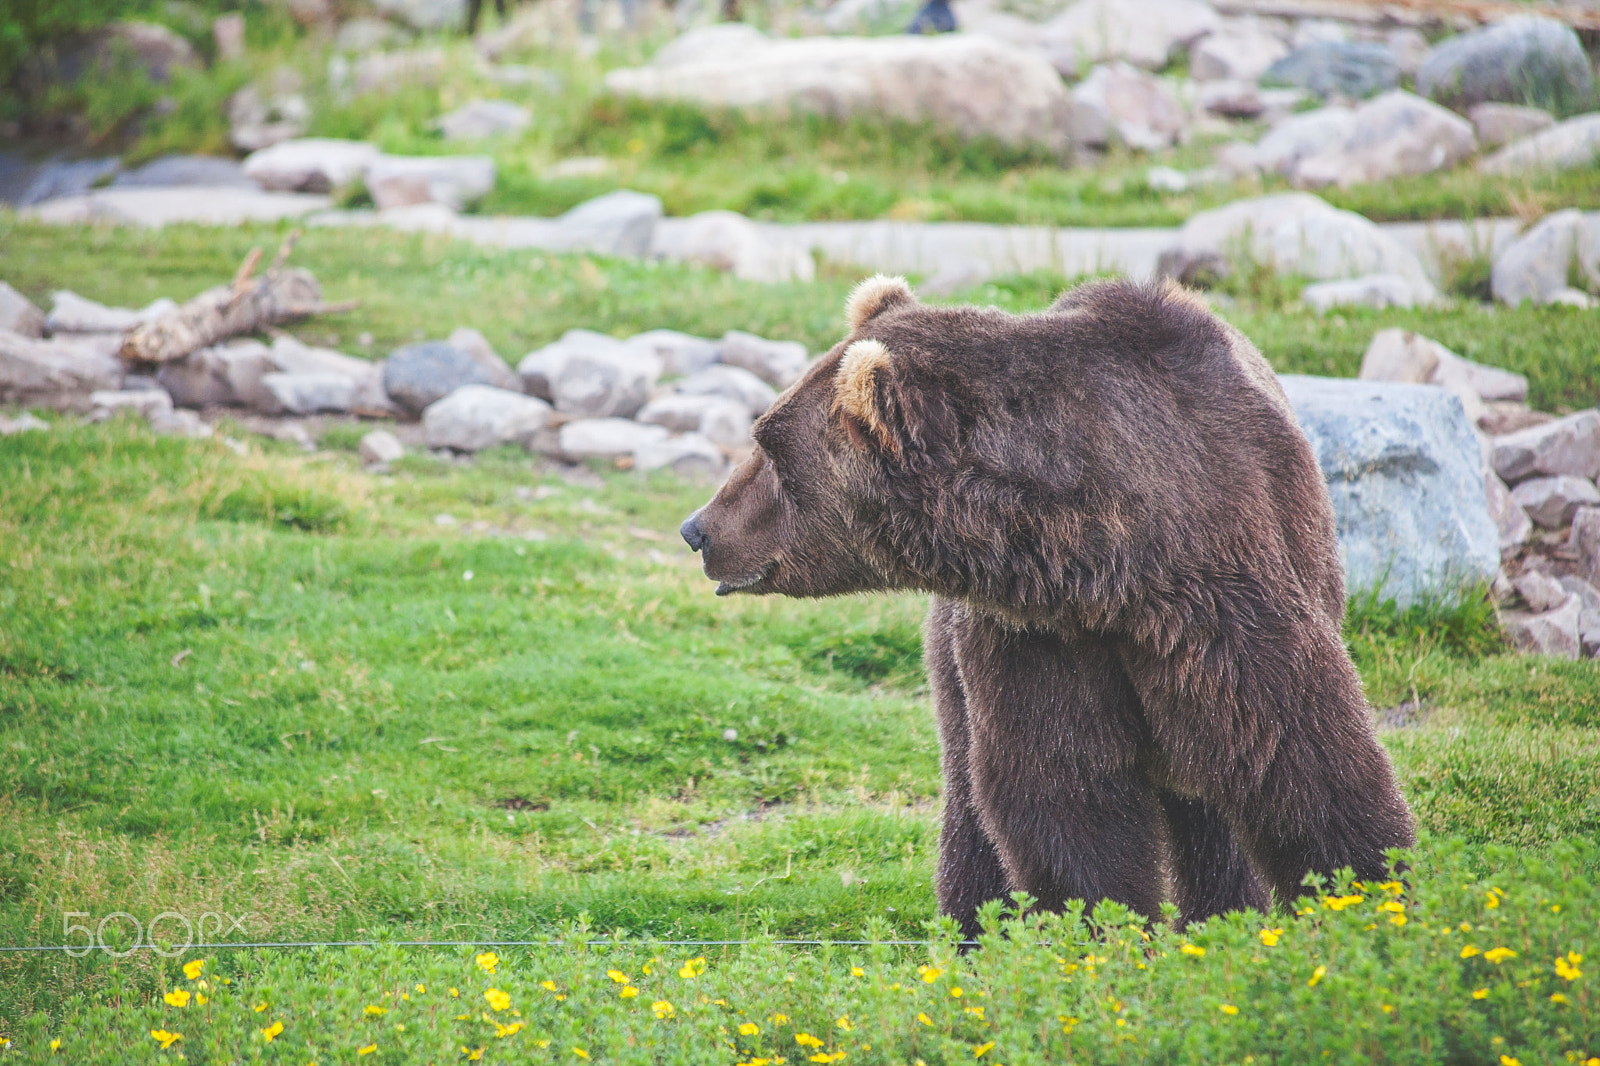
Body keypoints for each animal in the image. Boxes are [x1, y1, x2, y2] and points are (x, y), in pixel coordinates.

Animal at [679, 275, 1416, 934]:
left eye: (770, 446)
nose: (698, 529)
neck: (1107, 563)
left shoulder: (1225, 598)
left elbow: (1300, 762)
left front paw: (1366, 899)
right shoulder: (1037, 636)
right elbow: (1066, 795)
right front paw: (1103, 935)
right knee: (971, 807)